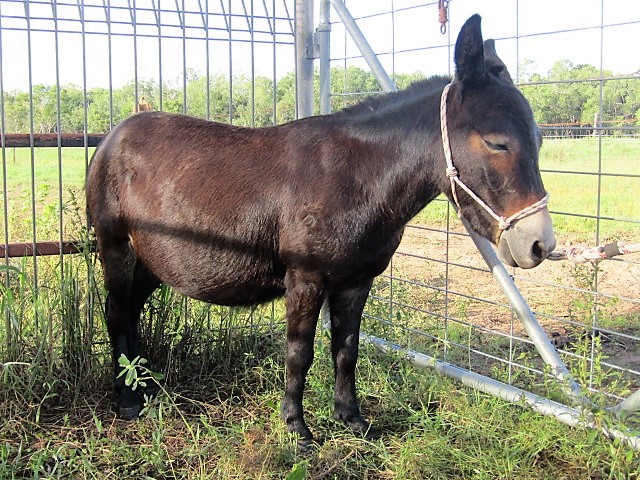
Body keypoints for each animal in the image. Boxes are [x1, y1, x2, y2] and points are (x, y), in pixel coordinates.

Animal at [86, 14, 555, 444]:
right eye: (497, 143)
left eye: (539, 140)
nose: (540, 245)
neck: (359, 177)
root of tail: (115, 133)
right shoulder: (306, 278)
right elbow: (299, 353)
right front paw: (297, 428)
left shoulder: (357, 279)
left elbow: (346, 351)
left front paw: (353, 419)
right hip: (116, 246)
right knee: (116, 312)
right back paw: (128, 399)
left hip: (153, 259)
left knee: (131, 310)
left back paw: (142, 385)